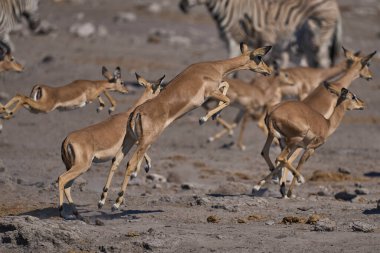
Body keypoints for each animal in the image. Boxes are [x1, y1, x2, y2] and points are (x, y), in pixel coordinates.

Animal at [1, 66, 129, 119]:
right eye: (122, 82)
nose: (127, 91)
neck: (93, 84)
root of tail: (40, 86)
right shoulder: (91, 97)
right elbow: (104, 90)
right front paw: (110, 108)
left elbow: (102, 93)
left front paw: (101, 107)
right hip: (43, 107)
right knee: (23, 98)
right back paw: (8, 114)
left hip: (35, 110)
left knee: (20, 96)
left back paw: (5, 111)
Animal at [58, 73, 166, 219]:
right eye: (160, 88)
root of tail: (67, 140)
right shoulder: (132, 141)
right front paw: (144, 167)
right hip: (81, 166)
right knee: (61, 179)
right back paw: (62, 212)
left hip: (73, 167)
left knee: (67, 185)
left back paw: (76, 213)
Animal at [102, 43, 272, 210]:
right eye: (259, 57)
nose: (269, 71)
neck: (215, 67)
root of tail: (137, 112)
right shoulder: (210, 93)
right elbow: (227, 98)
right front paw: (204, 118)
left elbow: (226, 84)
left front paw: (214, 115)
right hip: (145, 141)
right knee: (130, 164)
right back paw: (116, 203)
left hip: (130, 139)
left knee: (116, 160)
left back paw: (102, 200)